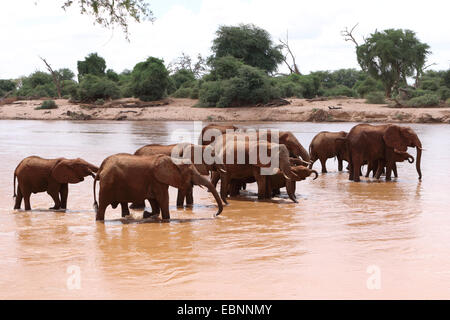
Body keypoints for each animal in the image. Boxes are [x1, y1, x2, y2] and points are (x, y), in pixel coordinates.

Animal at [93, 152, 223, 220]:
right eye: (191, 172)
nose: (214, 215)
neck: (174, 161)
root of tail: (102, 167)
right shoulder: (158, 180)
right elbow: (163, 199)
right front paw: (166, 219)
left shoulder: (153, 181)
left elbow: (154, 201)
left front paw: (147, 215)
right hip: (107, 185)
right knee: (102, 207)